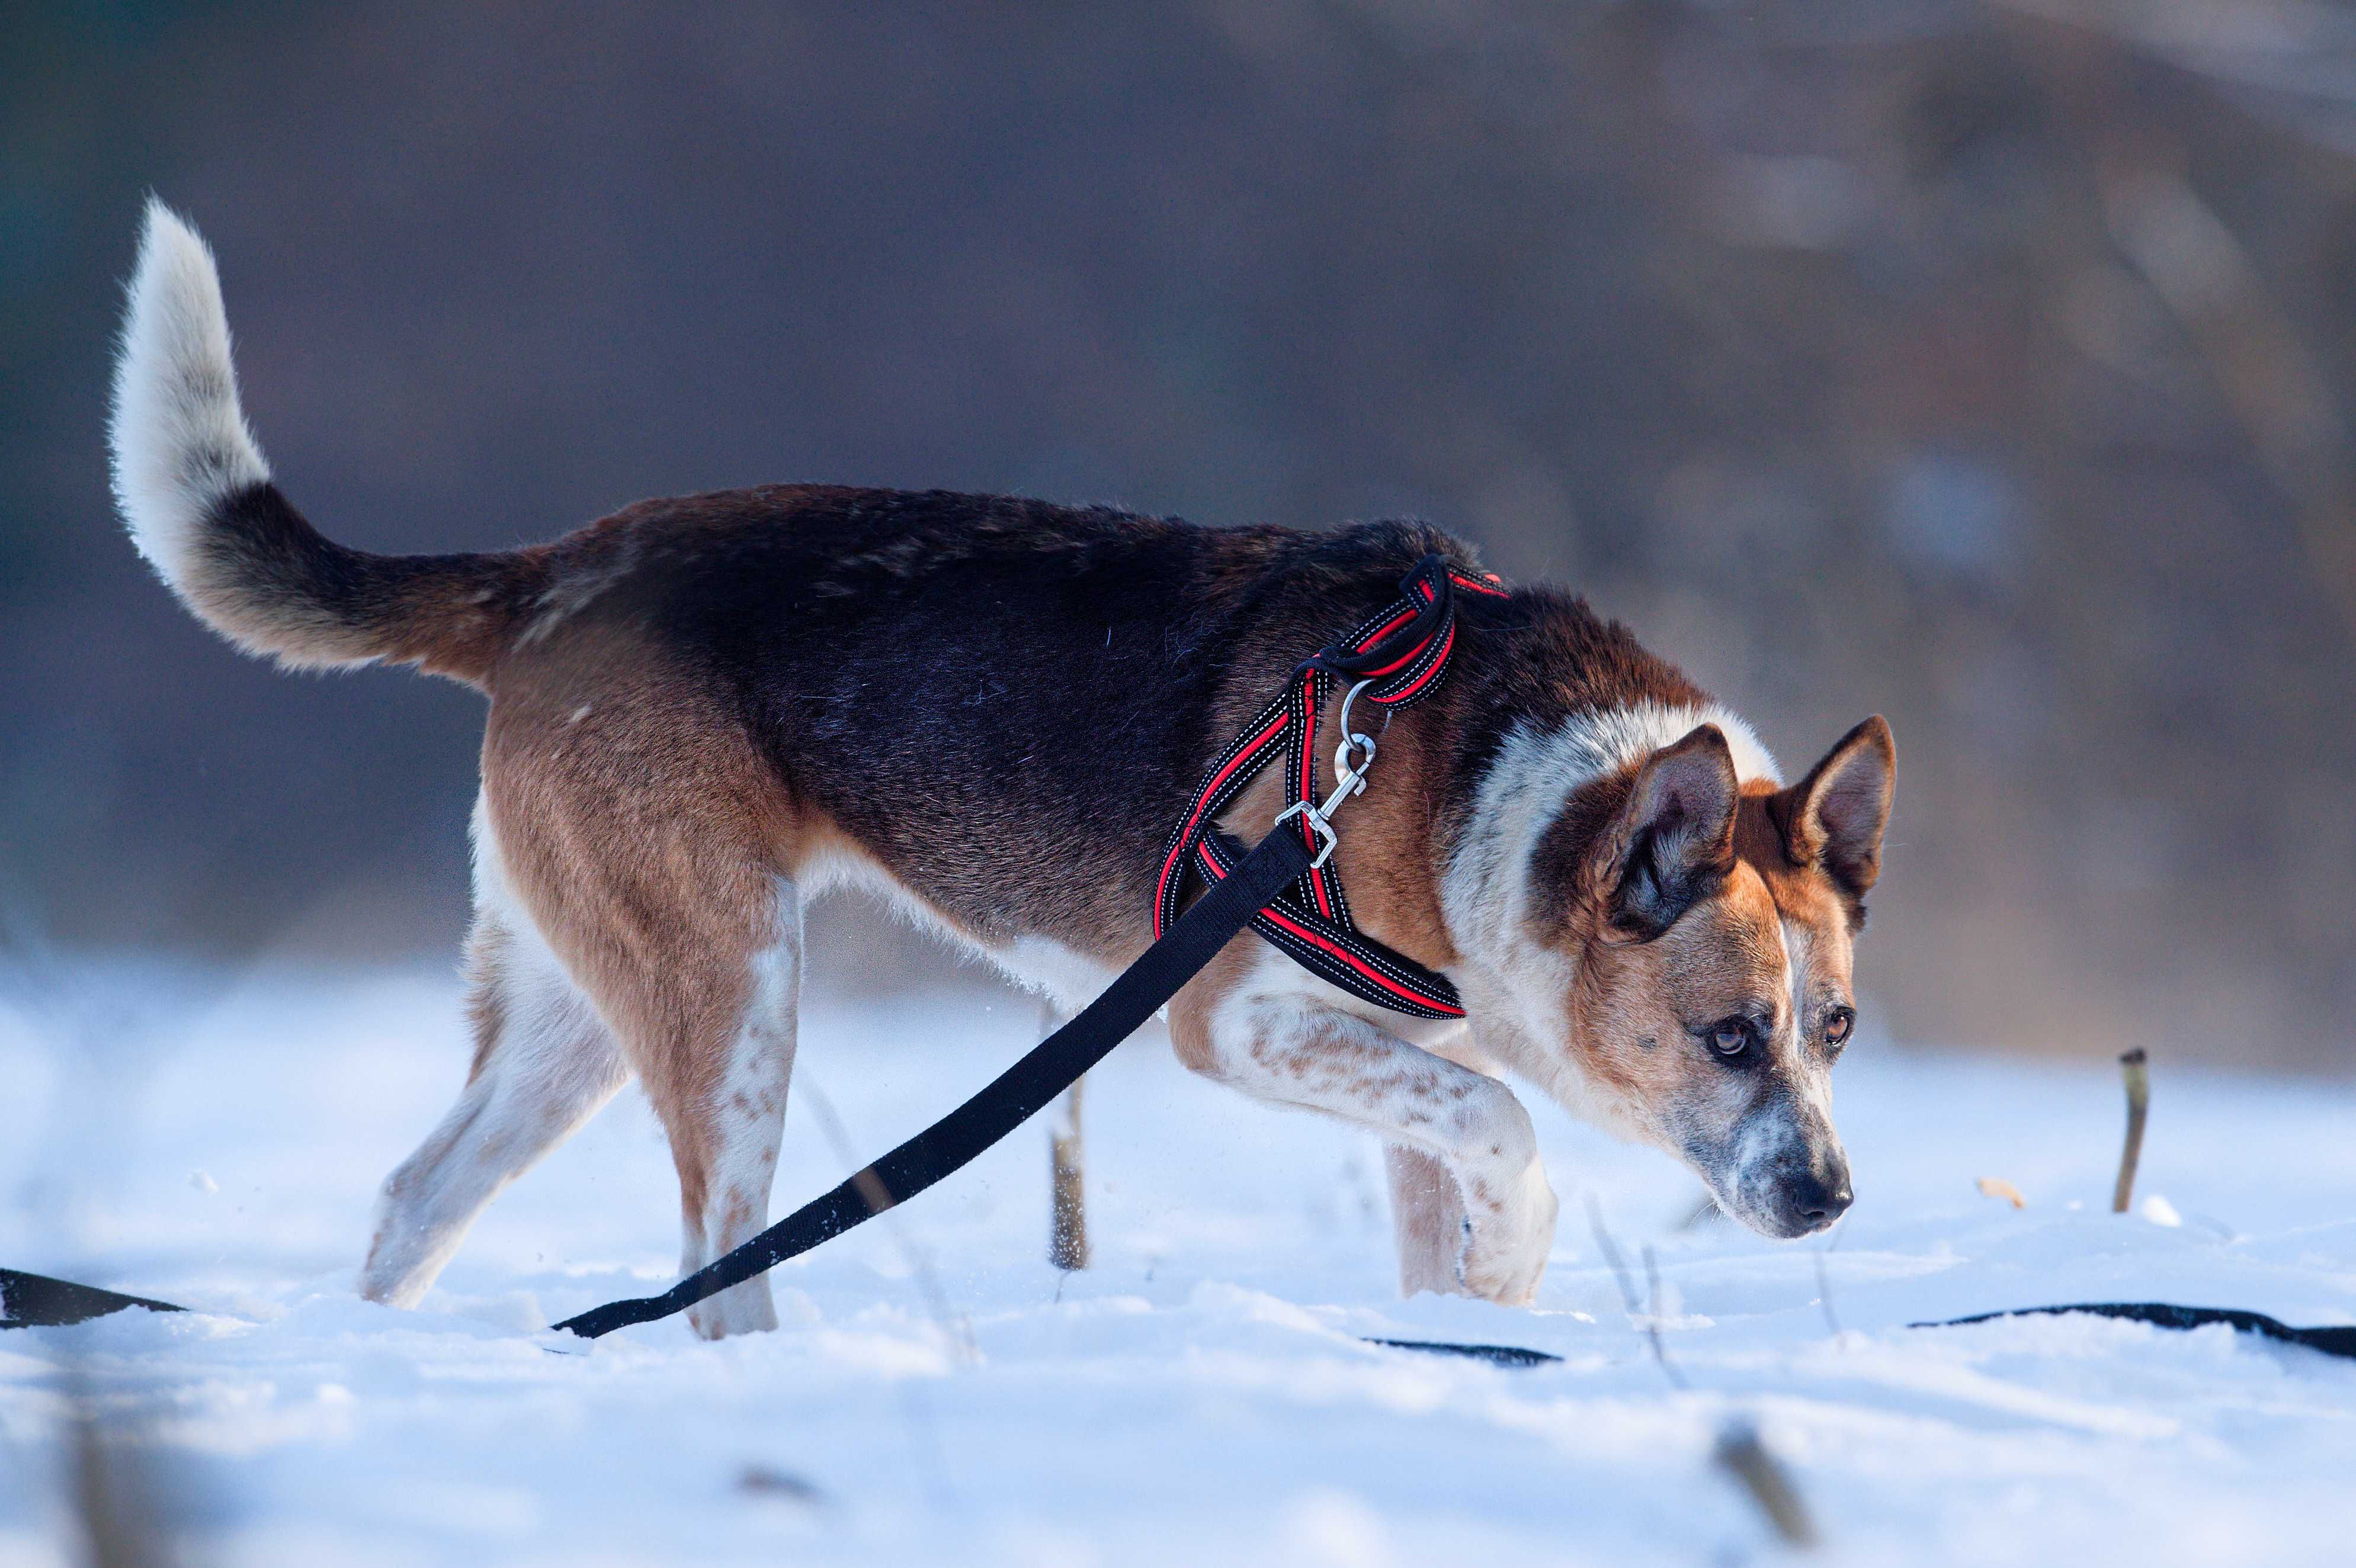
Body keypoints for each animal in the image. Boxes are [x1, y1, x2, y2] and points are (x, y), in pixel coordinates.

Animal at [105, 204, 1894, 1327]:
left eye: (1838, 1030)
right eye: (1728, 1035)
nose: (1829, 1197)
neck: (1481, 769)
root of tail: (556, 574)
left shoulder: (1390, 1061)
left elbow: (1446, 1182)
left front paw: (1472, 1337)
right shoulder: (1233, 1022)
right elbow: (1508, 1127)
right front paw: (1517, 1267)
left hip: (580, 1003)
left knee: (420, 1195)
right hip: (733, 990)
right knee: (716, 1253)